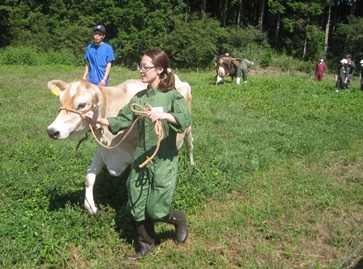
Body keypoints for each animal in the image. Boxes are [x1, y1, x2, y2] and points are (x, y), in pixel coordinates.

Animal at [47, 75, 195, 214]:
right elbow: (89, 177)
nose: (52, 131)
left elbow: (130, 183)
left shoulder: (137, 154)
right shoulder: (104, 149)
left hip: (187, 127)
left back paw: (192, 166)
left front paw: (129, 207)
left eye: (82, 105)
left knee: (190, 146)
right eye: (61, 101)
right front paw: (91, 208)